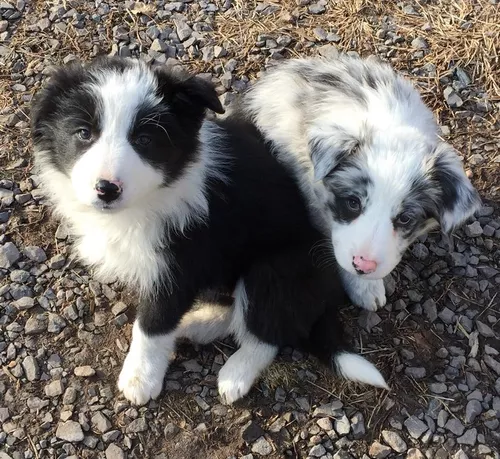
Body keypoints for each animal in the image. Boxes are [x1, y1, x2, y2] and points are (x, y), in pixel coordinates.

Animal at [31, 56, 388, 406]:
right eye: (83, 133)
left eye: (144, 140)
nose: (106, 189)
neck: (151, 197)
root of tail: (327, 295)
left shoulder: (179, 265)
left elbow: (152, 325)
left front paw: (140, 379)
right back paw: (196, 325)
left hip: (277, 269)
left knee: (267, 330)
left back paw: (235, 375)